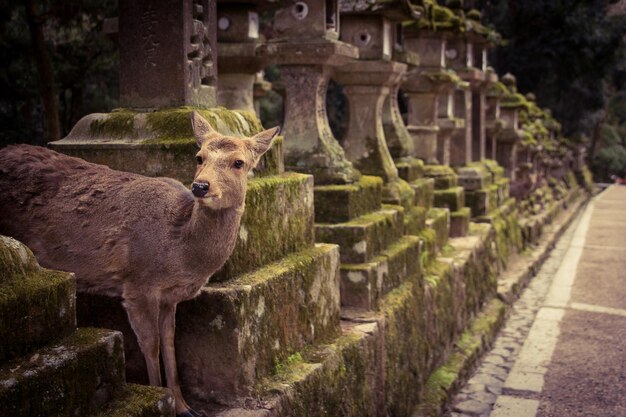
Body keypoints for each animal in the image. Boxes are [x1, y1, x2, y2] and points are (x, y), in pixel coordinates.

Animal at [0, 110, 278, 416]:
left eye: (239, 162)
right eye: (199, 157)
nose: (200, 186)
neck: (179, 253)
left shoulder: (169, 297)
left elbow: (170, 343)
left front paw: (185, 407)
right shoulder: (137, 285)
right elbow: (151, 345)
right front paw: (162, 399)